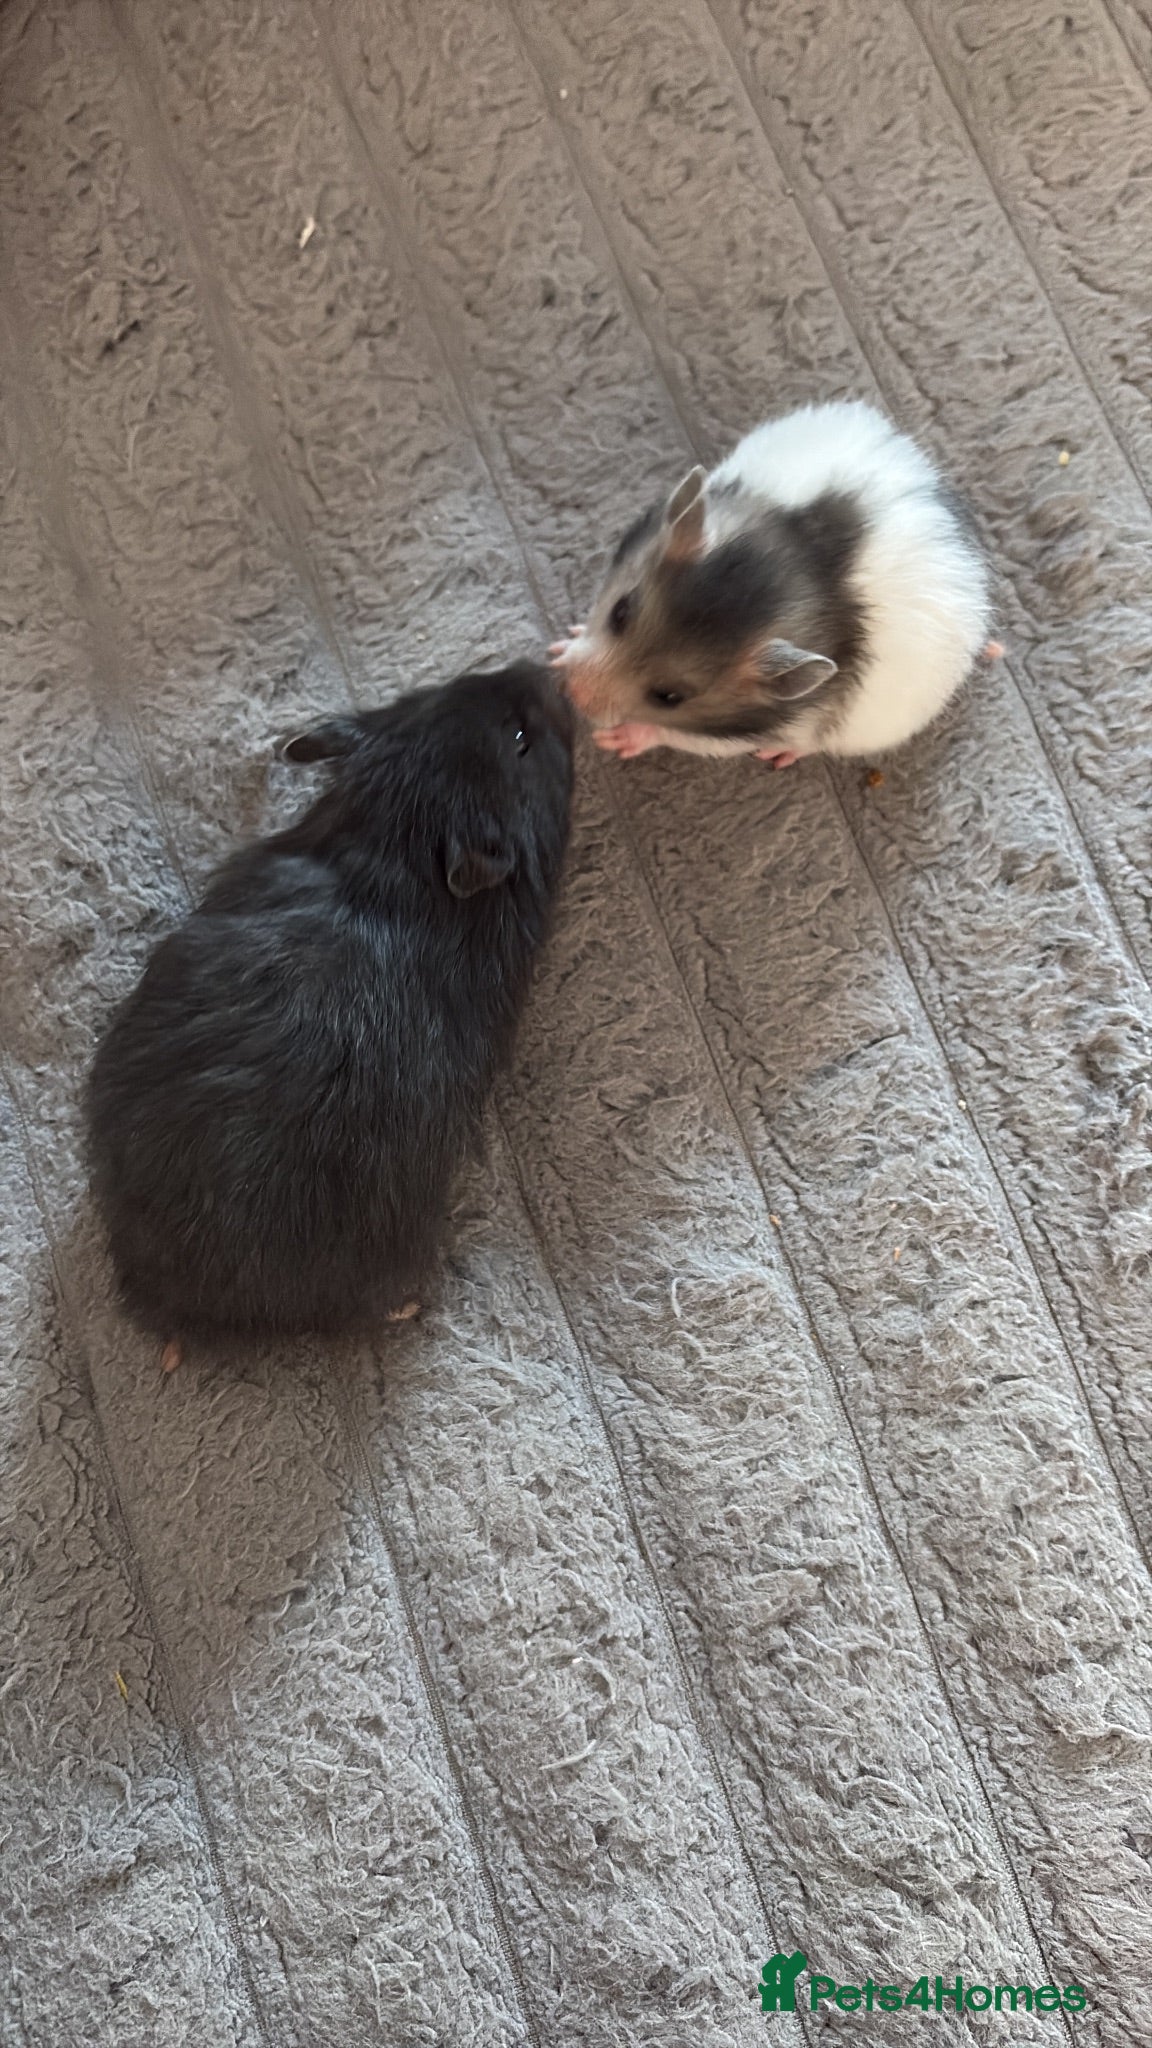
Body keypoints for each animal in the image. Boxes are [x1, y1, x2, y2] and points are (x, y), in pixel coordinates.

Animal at [552, 400, 993, 767]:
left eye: (670, 697)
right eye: (620, 611)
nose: (570, 691)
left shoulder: (755, 729)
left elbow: (682, 736)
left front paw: (617, 739)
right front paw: (560, 649)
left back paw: (781, 757)